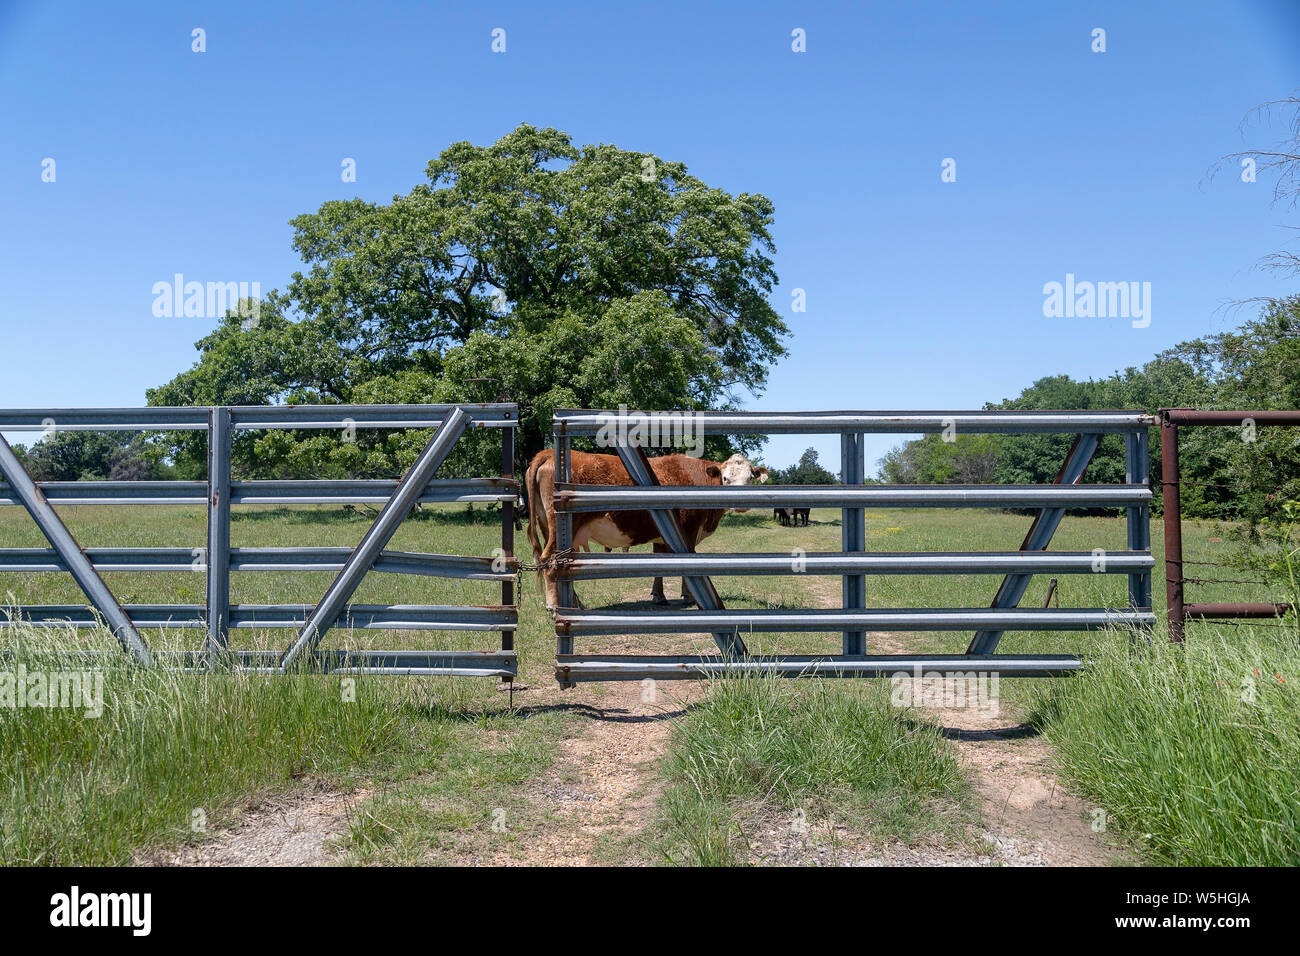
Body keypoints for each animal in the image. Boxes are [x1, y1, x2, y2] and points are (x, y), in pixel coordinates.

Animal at [525, 447, 769, 606]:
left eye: (750, 478)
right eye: (726, 478)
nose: (740, 503)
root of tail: (547, 453)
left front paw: (659, 596)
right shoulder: (688, 531)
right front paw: (689, 597)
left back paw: (575, 603)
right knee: (550, 560)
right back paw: (554, 605)